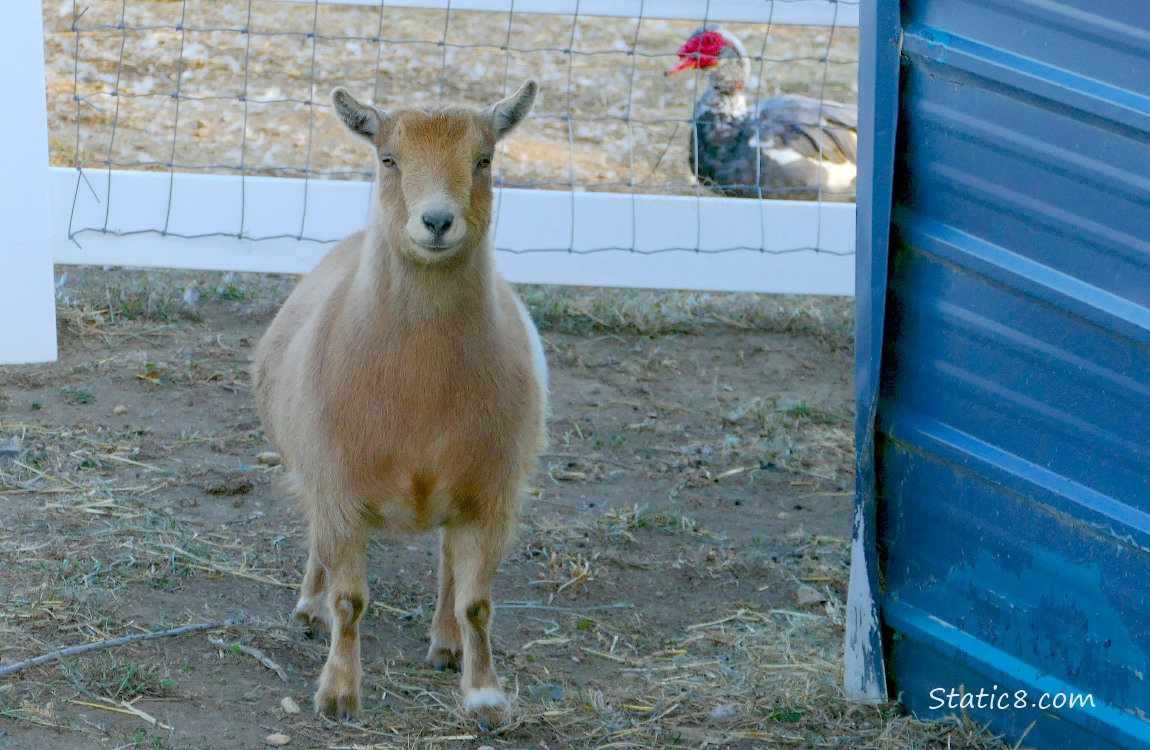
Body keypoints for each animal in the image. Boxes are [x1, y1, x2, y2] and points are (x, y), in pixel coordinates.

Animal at [252, 79, 547, 727]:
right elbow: (350, 600)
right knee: (321, 547)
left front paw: (485, 695)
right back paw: (308, 608)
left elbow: (478, 604)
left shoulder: (491, 494)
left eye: (484, 159)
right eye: (388, 159)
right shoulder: (337, 486)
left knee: (447, 569)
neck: (420, 394)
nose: (437, 221)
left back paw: (445, 645)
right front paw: (339, 694)